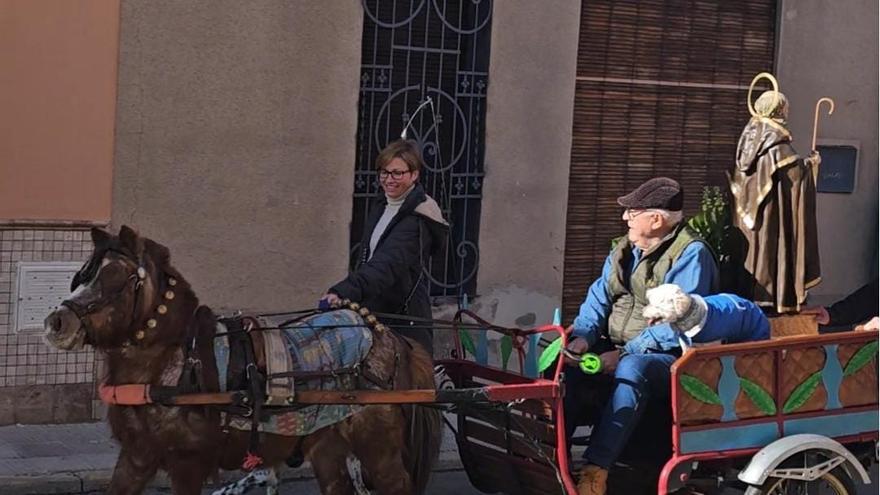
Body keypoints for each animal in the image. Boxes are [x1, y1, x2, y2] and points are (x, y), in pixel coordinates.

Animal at [43, 227, 440, 494]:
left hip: (379, 450)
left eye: (115, 277)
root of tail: (391, 337)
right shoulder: (136, 456)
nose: (56, 322)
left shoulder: (187, 463)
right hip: (327, 445)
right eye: (84, 274)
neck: (171, 363)